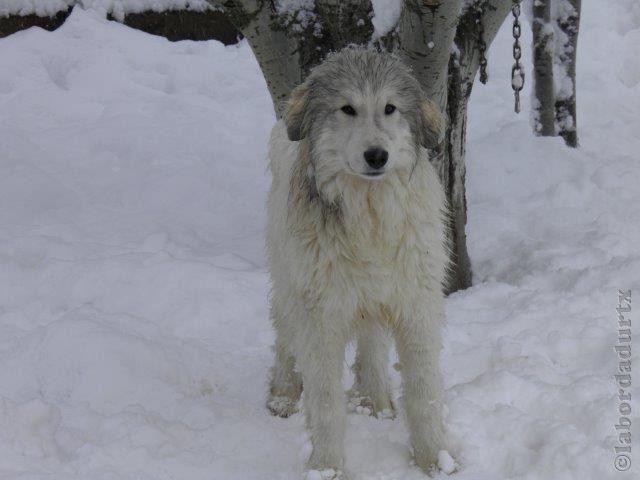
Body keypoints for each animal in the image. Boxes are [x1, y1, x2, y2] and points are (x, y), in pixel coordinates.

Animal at [264, 47, 450, 476]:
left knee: (372, 344)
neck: (370, 216)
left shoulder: (415, 307)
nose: (377, 155)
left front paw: (436, 459)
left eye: (390, 108)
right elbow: (326, 404)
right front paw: (326, 468)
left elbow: (425, 394)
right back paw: (283, 393)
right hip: (290, 283)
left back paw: (375, 401)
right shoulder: (321, 319)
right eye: (347, 109)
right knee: (284, 333)